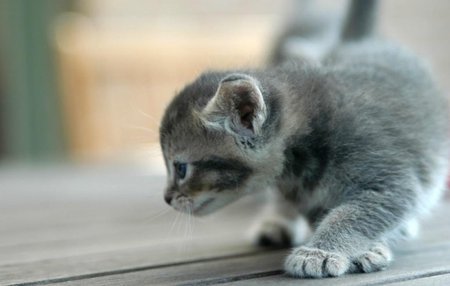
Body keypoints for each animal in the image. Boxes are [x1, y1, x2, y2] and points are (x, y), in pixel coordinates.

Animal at [158, 0, 446, 278]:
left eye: (181, 168)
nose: (167, 198)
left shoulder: (391, 182)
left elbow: (353, 214)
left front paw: (322, 252)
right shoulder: (308, 196)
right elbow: (329, 214)